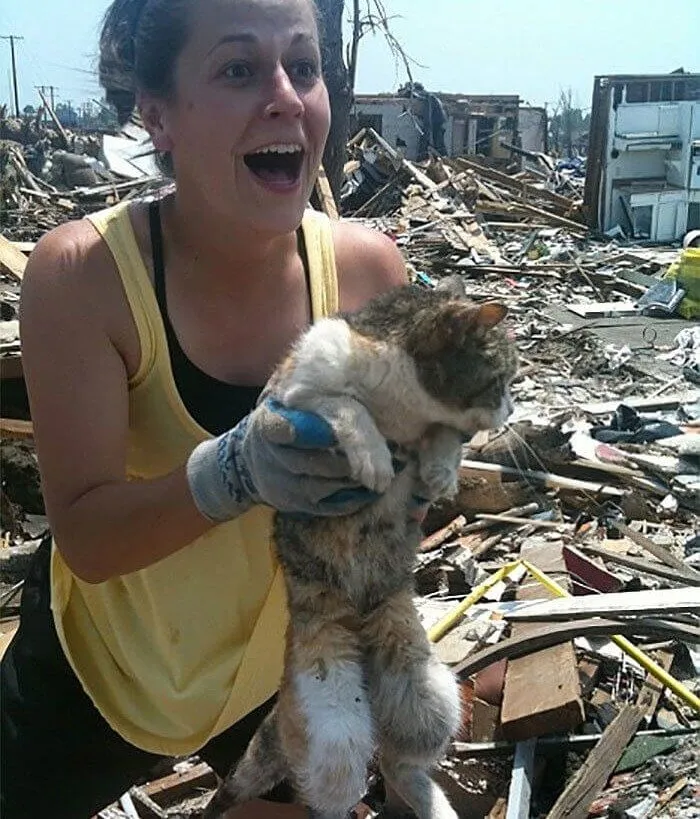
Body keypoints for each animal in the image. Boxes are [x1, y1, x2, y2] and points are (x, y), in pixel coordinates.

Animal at [202, 280, 520, 819]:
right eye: (500, 379)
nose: (512, 410)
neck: (403, 404)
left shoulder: (434, 425)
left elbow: (445, 434)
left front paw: (440, 471)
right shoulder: (293, 395)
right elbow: (347, 406)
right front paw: (373, 459)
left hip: (428, 698)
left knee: (399, 763)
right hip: (333, 726)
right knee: (335, 786)